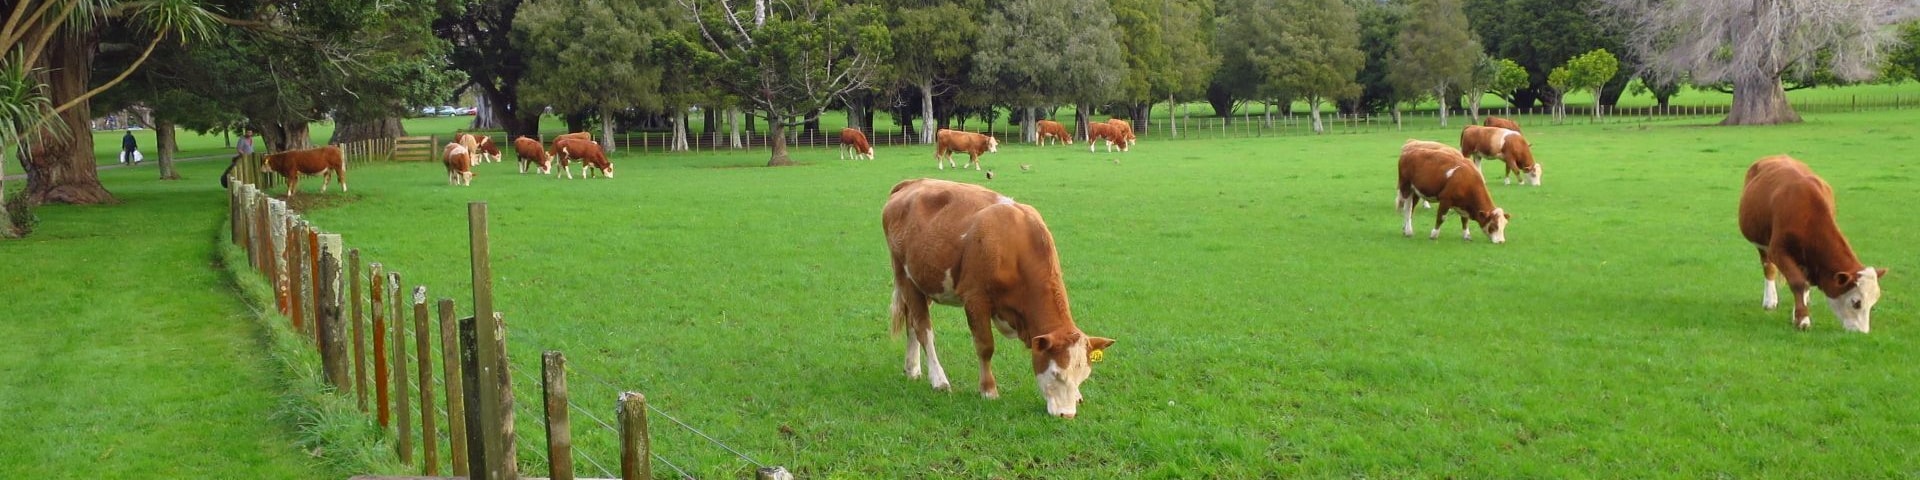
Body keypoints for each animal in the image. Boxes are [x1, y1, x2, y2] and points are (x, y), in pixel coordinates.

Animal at [881, 178, 1116, 418]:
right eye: (1056, 373)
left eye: (1084, 376)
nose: (1066, 415)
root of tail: (912, 182)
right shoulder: (975, 299)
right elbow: (985, 346)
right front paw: (988, 390)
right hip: (904, 275)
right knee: (923, 329)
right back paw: (938, 379)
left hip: (924, 282)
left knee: (912, 322)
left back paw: (912, 368)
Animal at [1738, 155, 1888, 332]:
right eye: (1856, 303)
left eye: (1873, 303)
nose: (1862, 332)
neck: (1808, 213)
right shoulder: (1778, 250)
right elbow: (1797, 282)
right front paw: (1803, 319)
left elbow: (1804, 283)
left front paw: (1797, 313)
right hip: (1762, 243)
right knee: (1768, 267)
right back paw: (1770, 300)